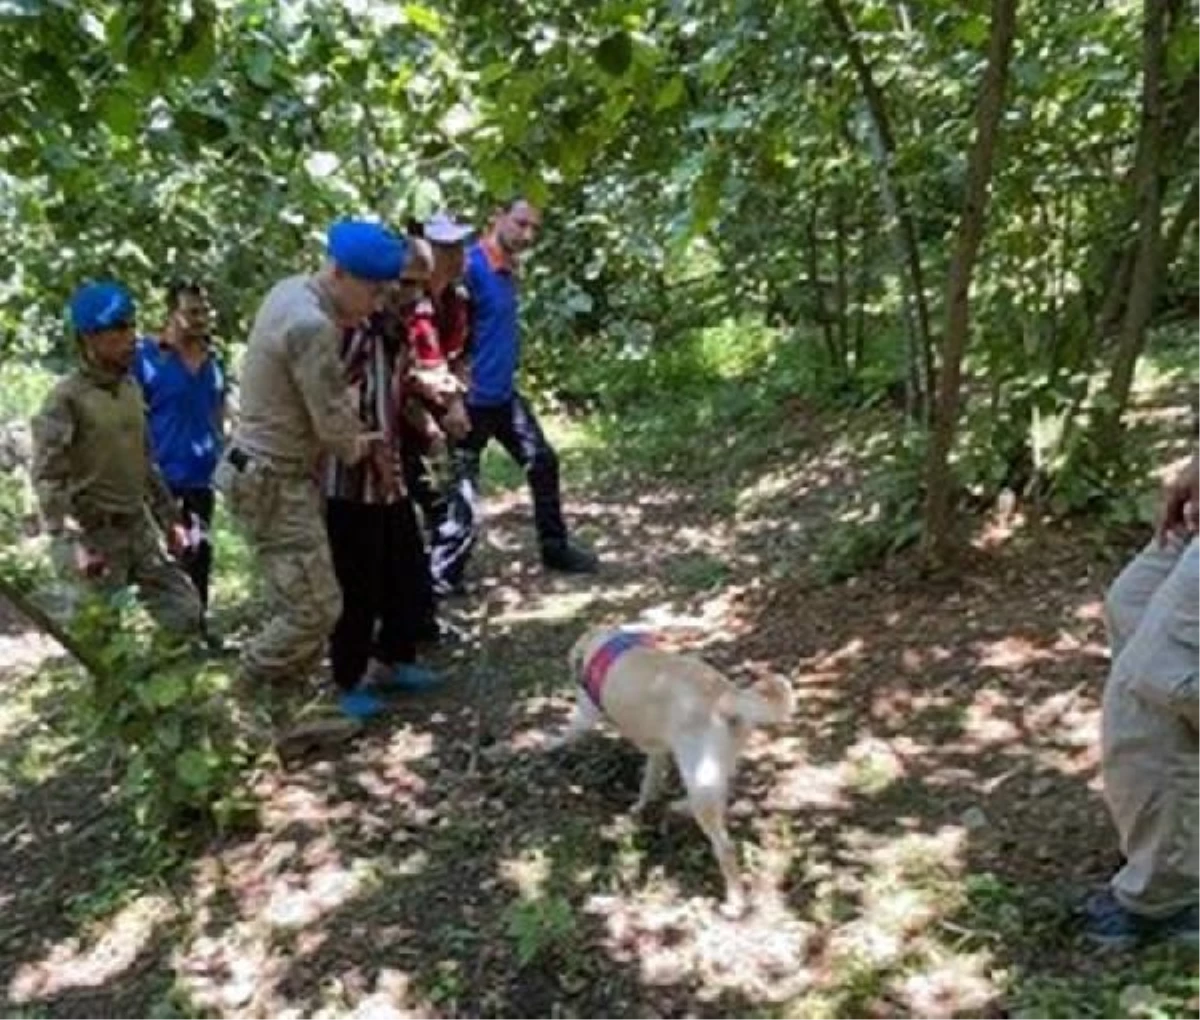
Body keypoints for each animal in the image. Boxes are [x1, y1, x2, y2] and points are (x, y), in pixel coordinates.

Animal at [547, 624, 792, 912]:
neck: (600, 643)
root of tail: (725, 696)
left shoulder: (585, 716)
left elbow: (567, 732)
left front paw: (546, 743)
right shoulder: (658, 752)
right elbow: (649, 784)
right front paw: (640, 807)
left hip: (699, 776)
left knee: (725, 847)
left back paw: (735, 901)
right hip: (711, 771)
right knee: (722, 794)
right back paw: (681, 807)